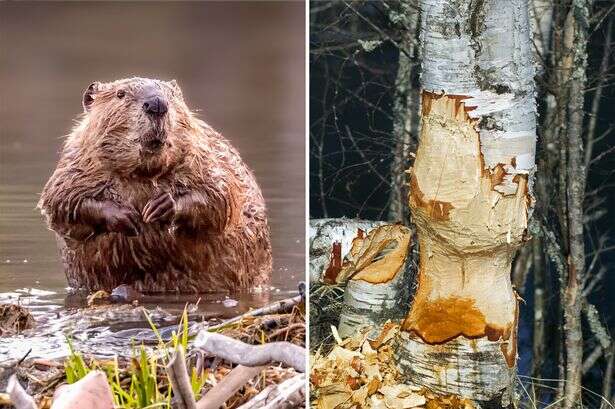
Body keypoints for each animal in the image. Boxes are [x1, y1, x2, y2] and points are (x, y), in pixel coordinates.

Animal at [37, 76, 270, 292]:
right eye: (120, 94)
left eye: (172, 95)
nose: (157, 104)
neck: (143, 173)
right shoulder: (75, 163)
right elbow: (61, 201)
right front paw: (126, 216)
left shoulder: (205, 156)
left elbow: (221, 196)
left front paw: (160, 207)